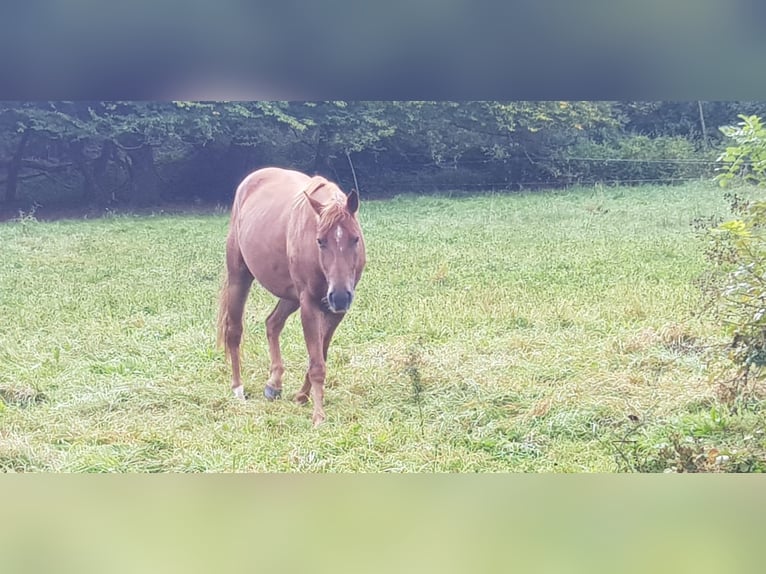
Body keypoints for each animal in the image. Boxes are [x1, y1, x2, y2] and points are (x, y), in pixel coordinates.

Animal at [218, 168, 368, 428]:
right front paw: (318, 416)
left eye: (355, 238)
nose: (339, 296)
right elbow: (317, 363)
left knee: (272, 323)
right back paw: (238, 389)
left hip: (291, 296)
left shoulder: (334, 312)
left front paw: (302, 396)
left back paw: (274, 384)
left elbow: (320, 354)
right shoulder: (309, 304)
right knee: (234, 331)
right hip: (240, 276)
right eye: (320, 240)